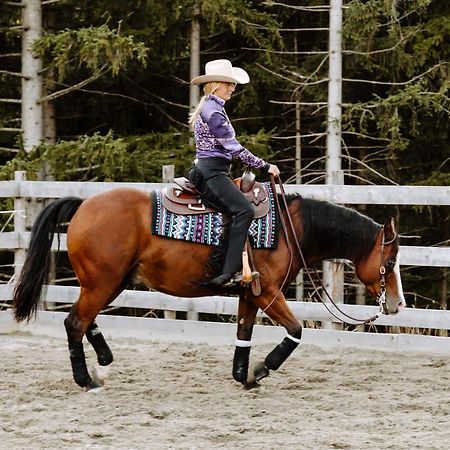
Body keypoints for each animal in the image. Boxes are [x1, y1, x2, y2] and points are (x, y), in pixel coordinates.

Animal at [12, 186, 406, 390]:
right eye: (389, 263)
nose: (397, 305)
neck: (287, 228)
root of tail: (83, 205)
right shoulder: (269, 293)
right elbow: (295, 331)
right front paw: (263, 369)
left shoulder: (250, 294)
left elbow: (244, 335)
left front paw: (245, 376)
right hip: (103, 282)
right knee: (75, 322)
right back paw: (86, 380)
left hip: (109, 282)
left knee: (83, 320)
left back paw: (104, 360)